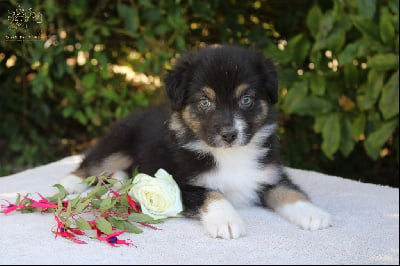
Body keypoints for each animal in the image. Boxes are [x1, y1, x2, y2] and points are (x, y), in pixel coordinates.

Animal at [59, 43, 332, 239]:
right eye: (204, 101)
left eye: (246, 99)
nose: (229, 134)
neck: (229, 155)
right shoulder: (178, 182)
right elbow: (211, 194)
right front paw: (227, 221)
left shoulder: (269, 173)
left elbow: (288, 190)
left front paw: (313, 214)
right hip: (118, 142)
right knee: (92, 163)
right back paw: (70, 183)